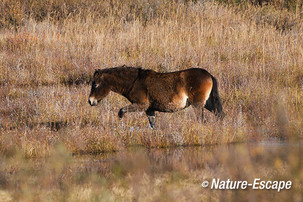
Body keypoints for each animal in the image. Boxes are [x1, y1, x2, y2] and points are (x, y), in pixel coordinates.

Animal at [88, 64, 223, 128]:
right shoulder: (149, 110)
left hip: (198, 105)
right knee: (220, 115)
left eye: (95, 84)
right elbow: (154, 126)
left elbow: (121, 111)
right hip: (208, 103)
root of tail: (209, 75)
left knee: (202, 120)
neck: (134, 82)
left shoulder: (141, 105)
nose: (90, 101)